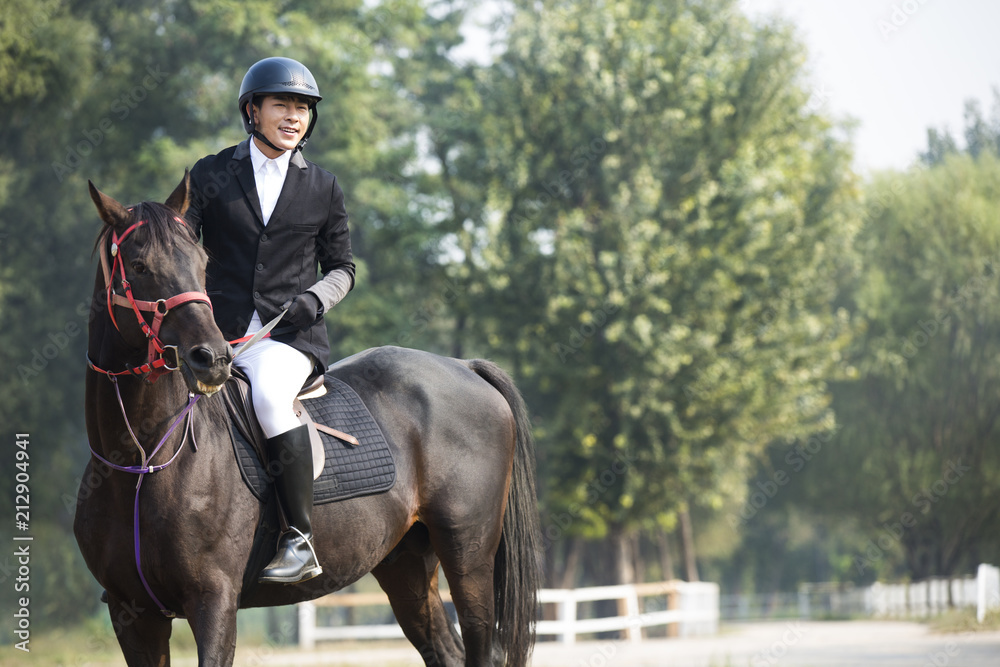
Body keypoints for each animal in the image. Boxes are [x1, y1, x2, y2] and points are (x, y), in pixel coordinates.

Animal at [74, 175, 544, 664]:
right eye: (139, 265)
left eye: (202, 263)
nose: (213, 358)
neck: (143, 459)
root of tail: (465, 366)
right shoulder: (133, 615)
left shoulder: (213, 602)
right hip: (406, 565)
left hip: (468, 556)